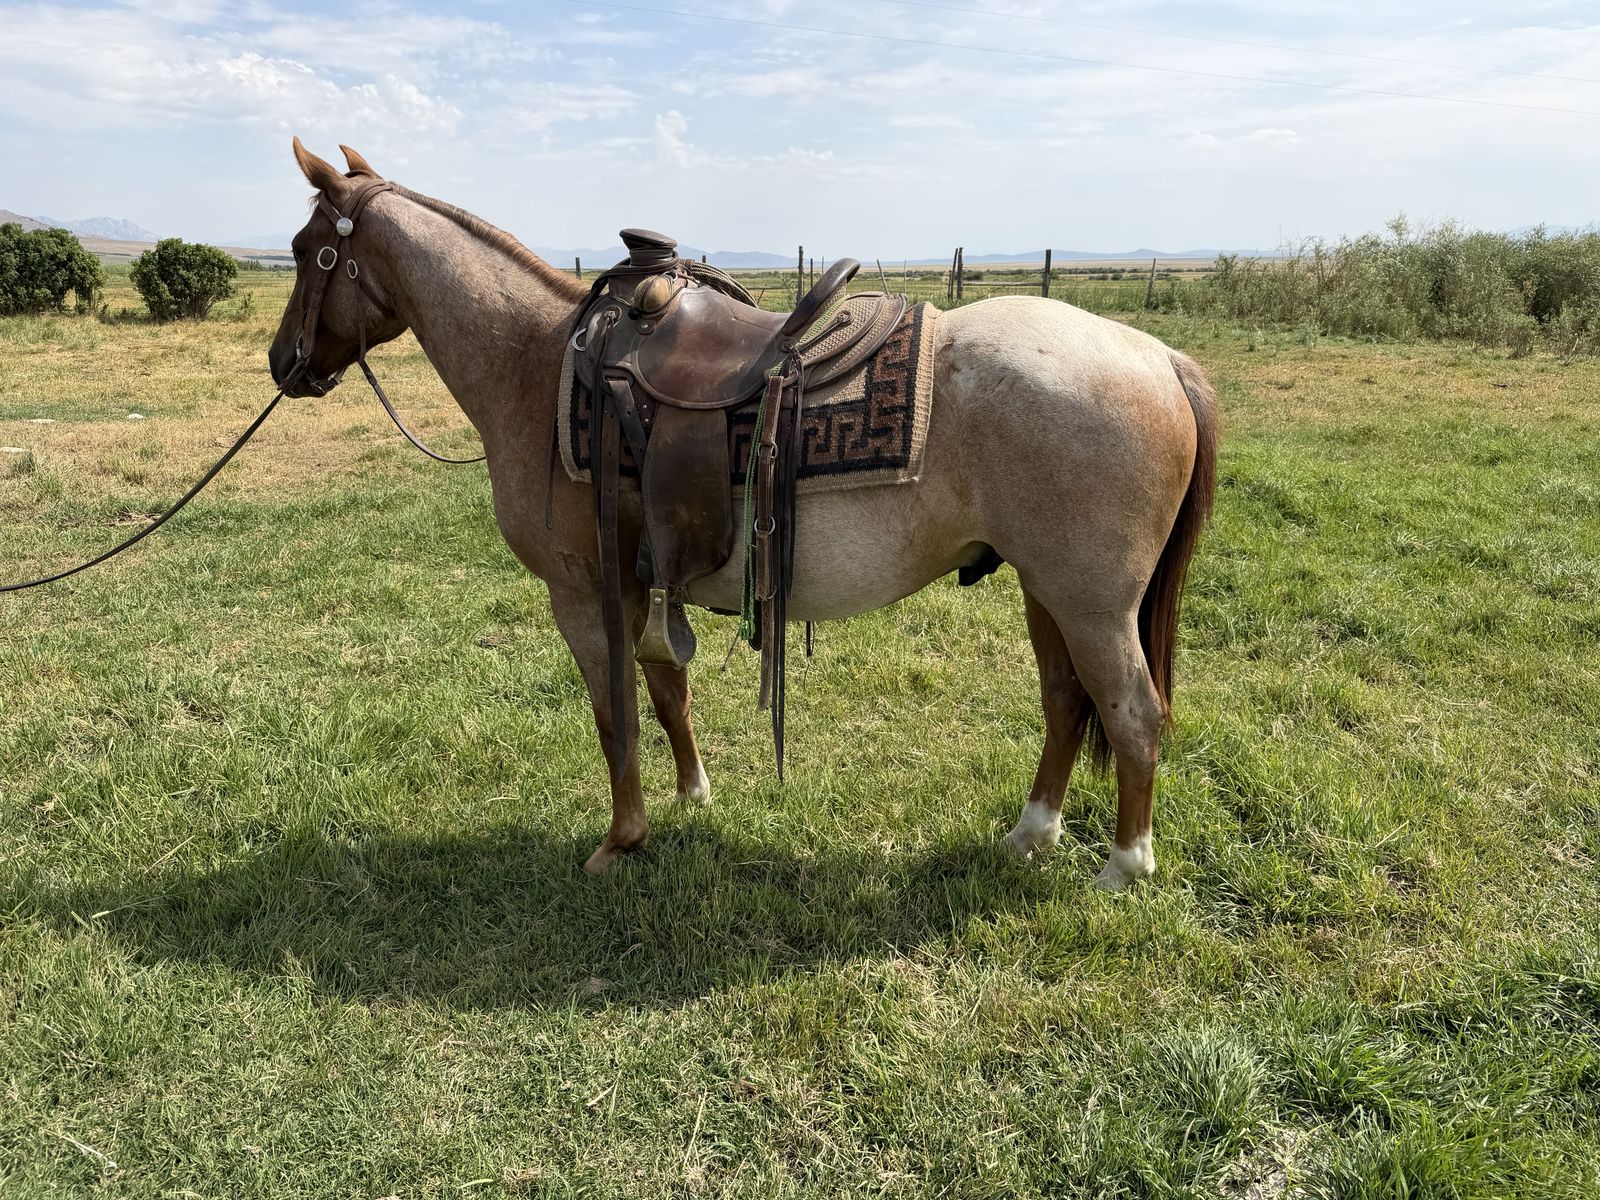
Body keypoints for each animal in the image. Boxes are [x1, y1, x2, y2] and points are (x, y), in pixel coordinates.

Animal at [267, 140, 1217, 888]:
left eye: (309, 251)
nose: (283, 362)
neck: (538, 364)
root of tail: (1160, 358)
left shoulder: (580, 594)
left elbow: (614, 712)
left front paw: (623, 838)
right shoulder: (642, 580)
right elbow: (666, 691)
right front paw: (692, 796)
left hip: (1093, 604)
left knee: (1132, 712)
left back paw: (1125, 866)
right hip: (1044, 588)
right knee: (1066, 702)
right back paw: (1030, 834)